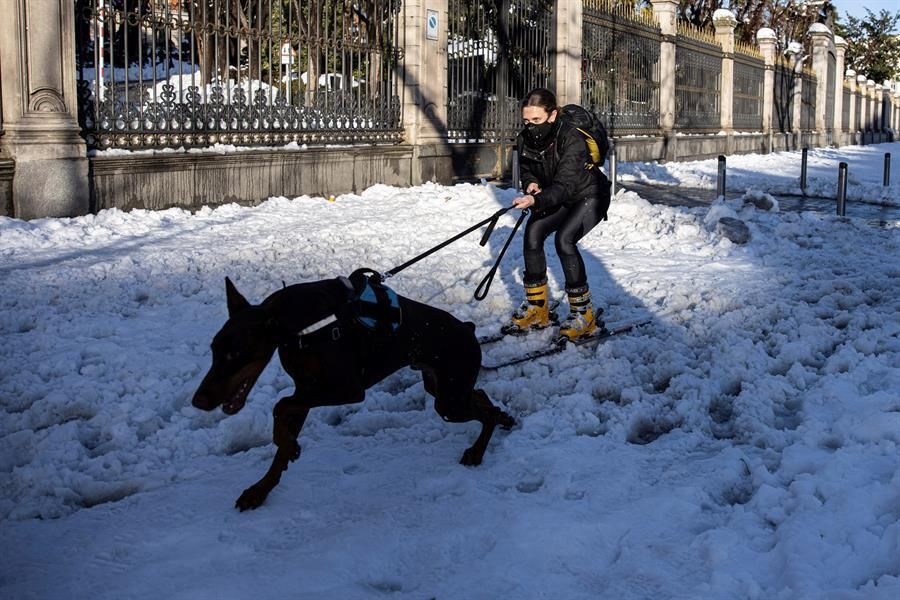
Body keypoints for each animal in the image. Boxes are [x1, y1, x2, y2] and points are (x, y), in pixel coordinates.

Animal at [192, 274, 512, 510]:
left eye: (236, 354)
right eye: (213, 350)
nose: (198, 401)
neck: (300, 325)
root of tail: (469, 329)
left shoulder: (347, 388)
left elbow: (280, 405)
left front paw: (288, 446)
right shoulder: (306, 388)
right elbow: (282, 436)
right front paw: (260, 489)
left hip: (448, 400)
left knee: (486, 412)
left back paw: (478, 450)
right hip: (442, 388)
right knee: (481, 397)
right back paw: (505, 420)